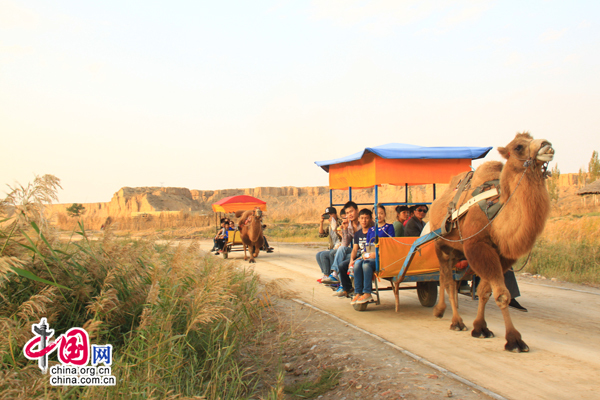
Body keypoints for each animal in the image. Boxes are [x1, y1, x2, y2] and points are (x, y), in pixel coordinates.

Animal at [428, 133, 556, 352]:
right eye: (519, 147)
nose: (547, 145)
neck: (496, 215)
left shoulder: (501, 255)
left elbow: (485, 291)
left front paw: (480, 328)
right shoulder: (478, 246)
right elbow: (502, 294)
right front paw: (514, 340)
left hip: (456, 251)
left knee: (448, 279)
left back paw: (442, 311)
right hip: (440, 245)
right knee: (447, 281)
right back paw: (455, 320)